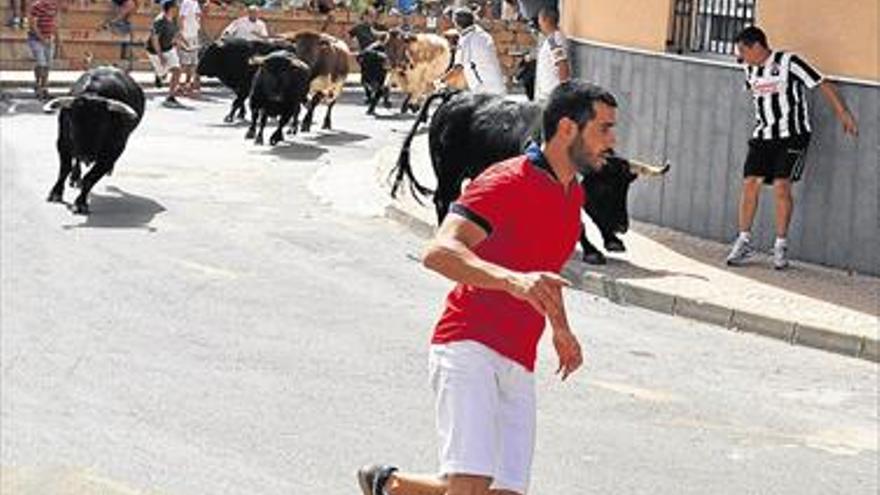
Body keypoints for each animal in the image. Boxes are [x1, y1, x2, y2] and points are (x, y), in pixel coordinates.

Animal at [388, 90, 672, 266]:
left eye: (625, 187)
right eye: (603, 188)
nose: (622, 227)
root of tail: (453, 95)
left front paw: (610, 242)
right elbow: (579, 222)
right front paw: (592, 251)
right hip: (448, 170)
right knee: (443, 198)